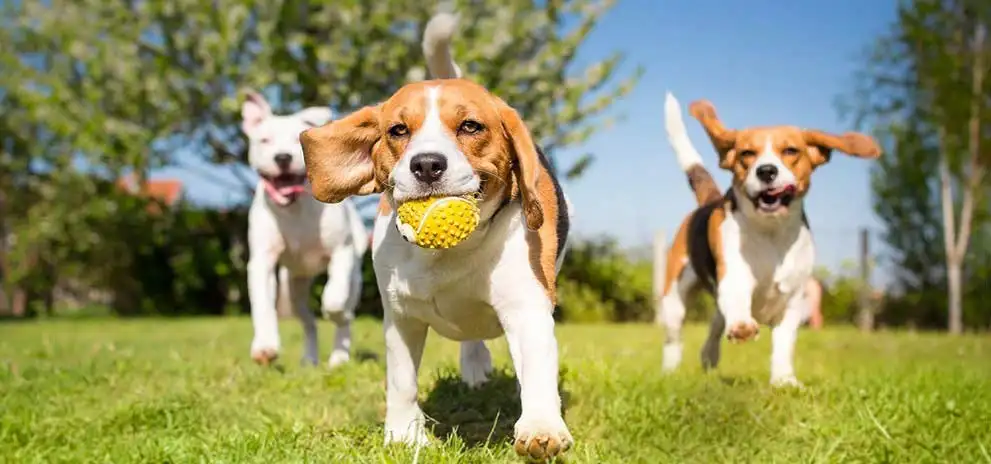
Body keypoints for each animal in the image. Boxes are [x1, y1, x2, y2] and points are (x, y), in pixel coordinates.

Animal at [242, 91, 370, 366]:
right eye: (264, 140)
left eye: (297, 139)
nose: (282, 157)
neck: (294, 208)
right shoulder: (262, 262)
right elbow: (262, 305)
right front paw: (265, 346)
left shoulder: (341, 252)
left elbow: (334, 299)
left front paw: (335, 312)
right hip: (294, 288)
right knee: (309, 322)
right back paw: (310, 359)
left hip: (354, 275)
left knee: (344, 312)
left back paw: (339, 356)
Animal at [298, 13, 572, 460]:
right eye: (397, 130)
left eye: (471, 126)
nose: (426, 164)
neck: (448, 254)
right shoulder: (400, 317)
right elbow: (402, 382)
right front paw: (404, 436)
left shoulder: (526, 307)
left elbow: (535, 371)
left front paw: (541, 428)